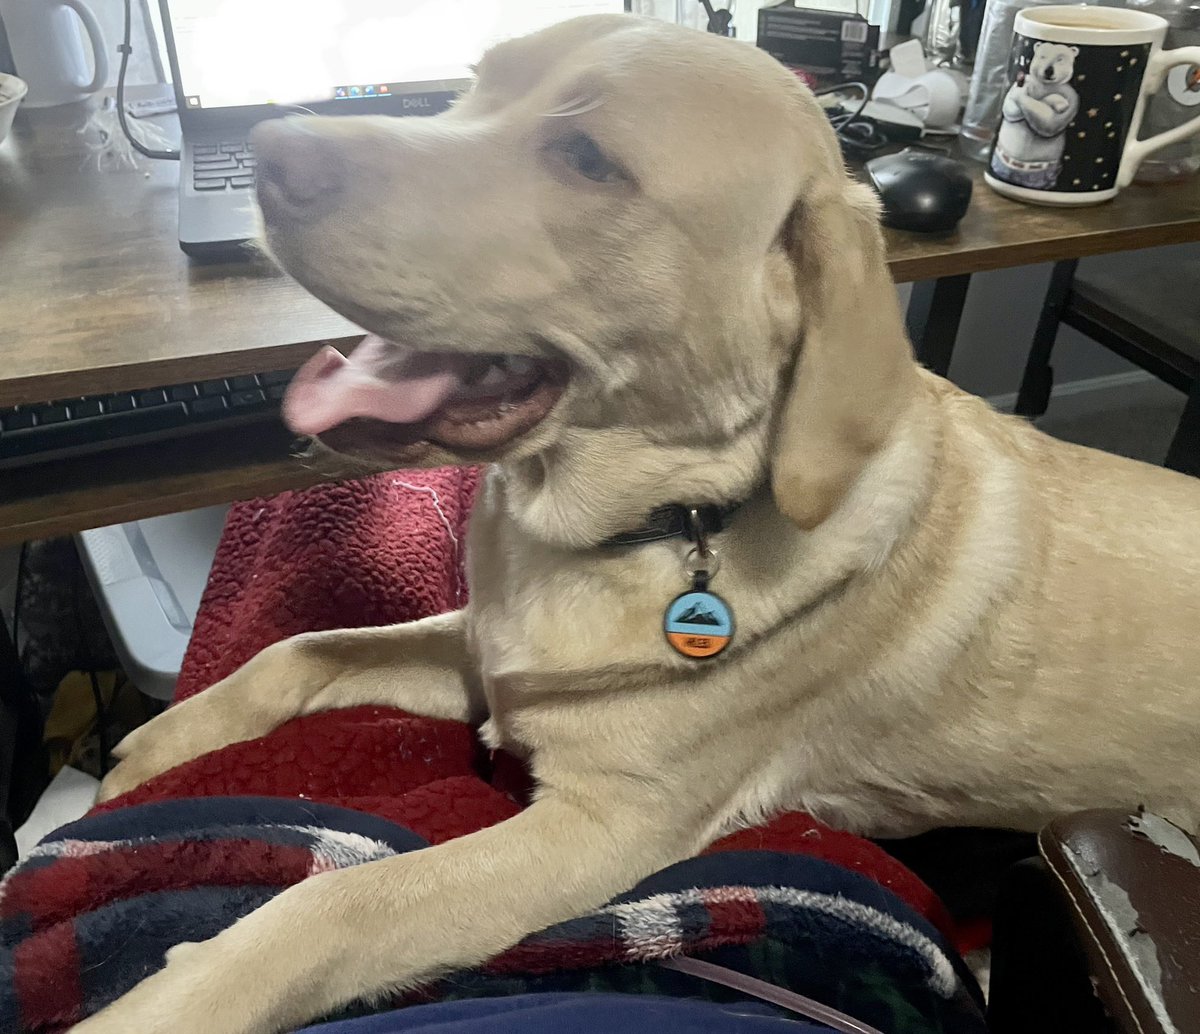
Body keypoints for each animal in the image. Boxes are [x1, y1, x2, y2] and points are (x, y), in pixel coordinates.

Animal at [79, 14, 1195, 1034]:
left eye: (586, 159)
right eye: (476, 85)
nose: (273, 151)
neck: (652, 525)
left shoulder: (600, 825)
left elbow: (338, 903)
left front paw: (167, 1001)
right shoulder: (486, 657)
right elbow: (301, 648)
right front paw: (153, 751)